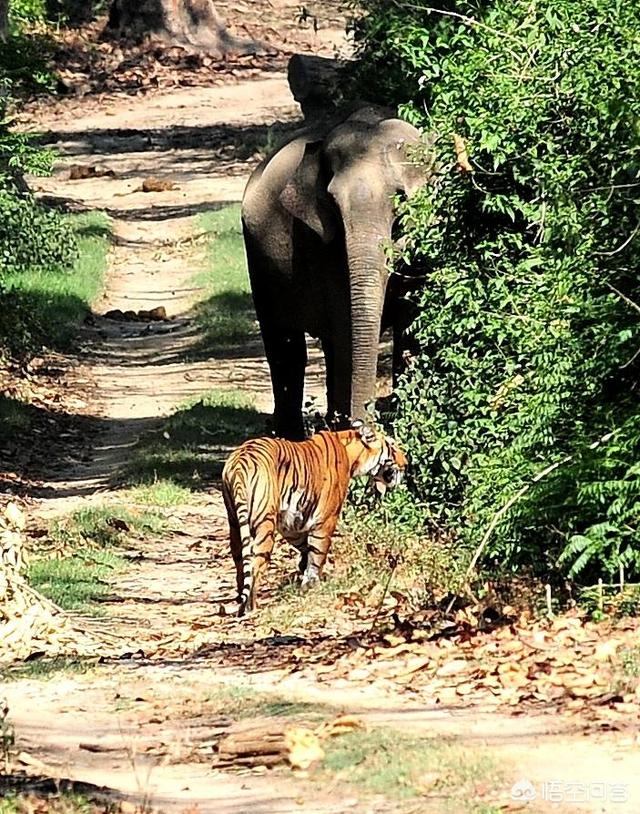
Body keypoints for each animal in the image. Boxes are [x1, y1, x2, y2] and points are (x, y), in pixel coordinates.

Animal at [222, 424, 408, 616]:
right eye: (393, 447)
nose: (406, 464)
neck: (352, 454)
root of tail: (240, 462)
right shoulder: (326, 519)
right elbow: (318, 553)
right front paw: (311, 584)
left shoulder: (290, 522)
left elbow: (305, 546)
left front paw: (303, 571)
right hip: (264, 525)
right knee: (255, 565)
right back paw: (251, 607)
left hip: (234, 522)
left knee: (240, 562)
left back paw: (240, 601)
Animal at [241, 107, 430, 444]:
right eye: (331, 203)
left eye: (401, 199)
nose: (364, 429)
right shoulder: (322, 245)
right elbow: (346, 326)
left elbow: (410, 324)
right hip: (258, 260)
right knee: (285, 345)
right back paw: (291, 437)